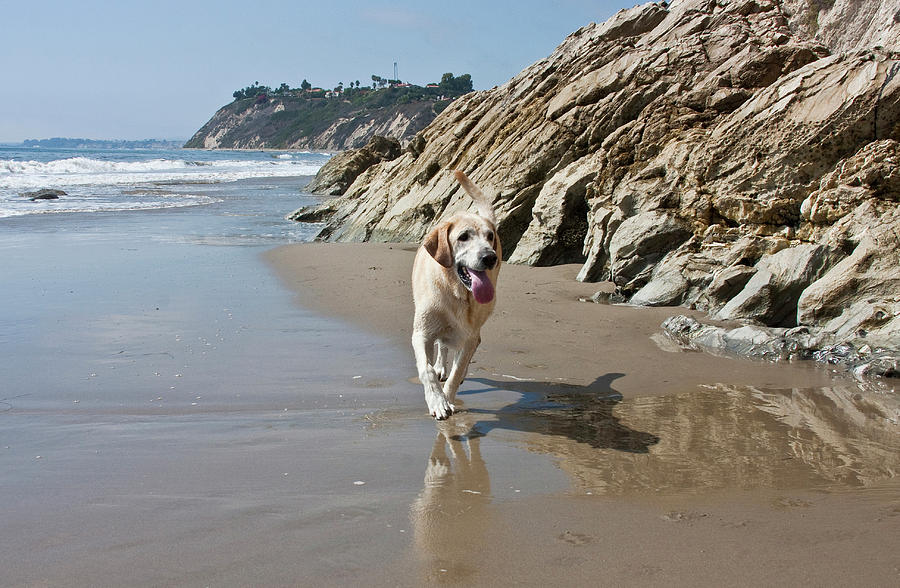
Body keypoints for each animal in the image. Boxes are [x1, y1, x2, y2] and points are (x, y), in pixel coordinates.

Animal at [414, 169, 502, 418]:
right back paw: (440, 366)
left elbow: (457, 370)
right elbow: (426, 369)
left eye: (489, 236)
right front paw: (437, 401)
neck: (456, 294)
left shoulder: (468, 337)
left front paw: (448, 398)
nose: (490, 257)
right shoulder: (421, 333)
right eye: (463, 237)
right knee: (441, 348)